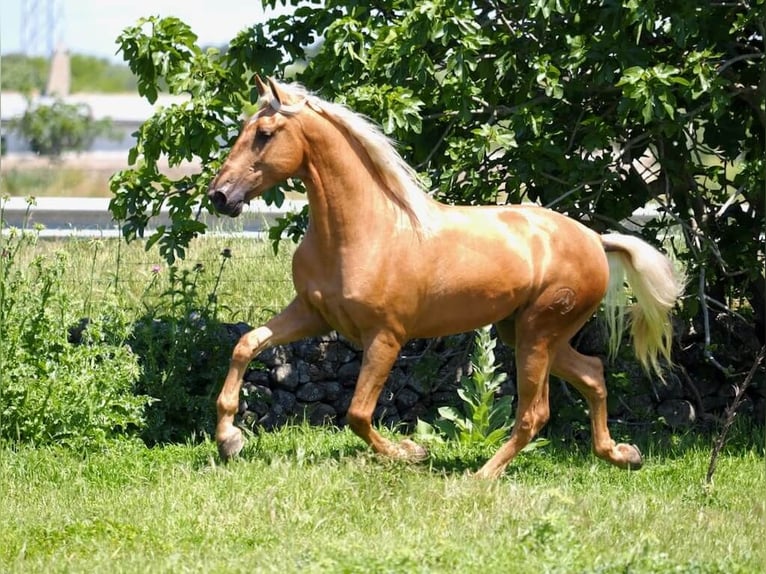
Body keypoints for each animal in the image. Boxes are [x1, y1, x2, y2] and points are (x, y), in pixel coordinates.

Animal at [207, 77, 683, 478]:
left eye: (265, 134)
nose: (220, 196)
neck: (364, 230)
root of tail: (595, 240)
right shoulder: (312, 313)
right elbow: (245, 344)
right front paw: (230, 439)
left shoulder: (385, 336)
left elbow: (358, 414)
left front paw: (411, 452)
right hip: (527, 332)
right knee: (593, 374)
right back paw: (622, 454)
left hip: (538, 334)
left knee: (535, 413)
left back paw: (482, 476)